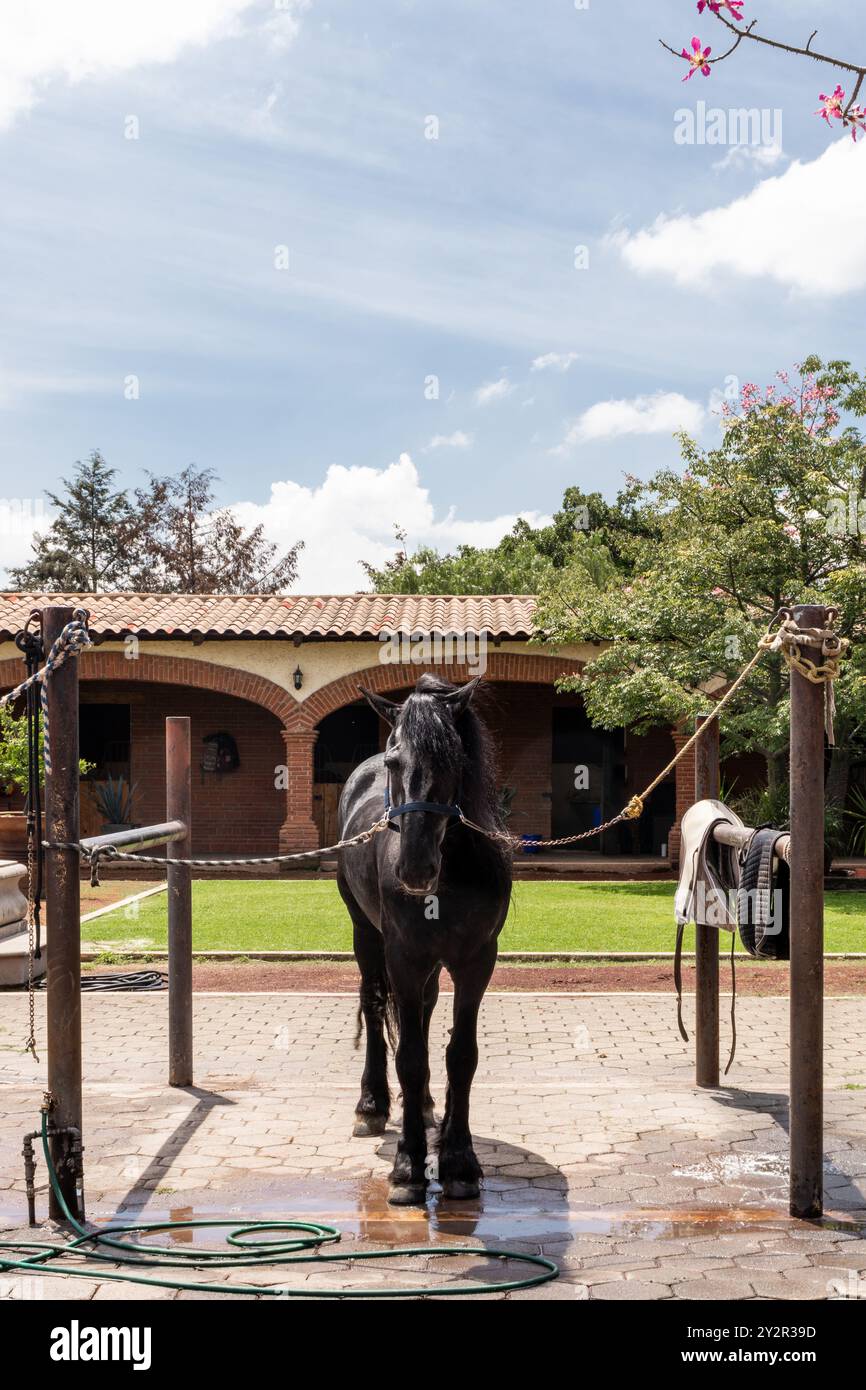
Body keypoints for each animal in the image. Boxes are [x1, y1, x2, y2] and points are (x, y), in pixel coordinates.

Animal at [337, 672, 514, 1206]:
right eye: (396, 761)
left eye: (452, 759)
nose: (415, 868)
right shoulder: (404, 958)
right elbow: (410, 1059)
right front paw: (409, 1169)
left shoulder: (476, 961)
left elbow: (461, 1054)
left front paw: (458, 1161)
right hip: (366, 937)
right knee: (376, 1007)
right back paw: (371, 1106)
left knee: (426, 1011)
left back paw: (430, 1106)